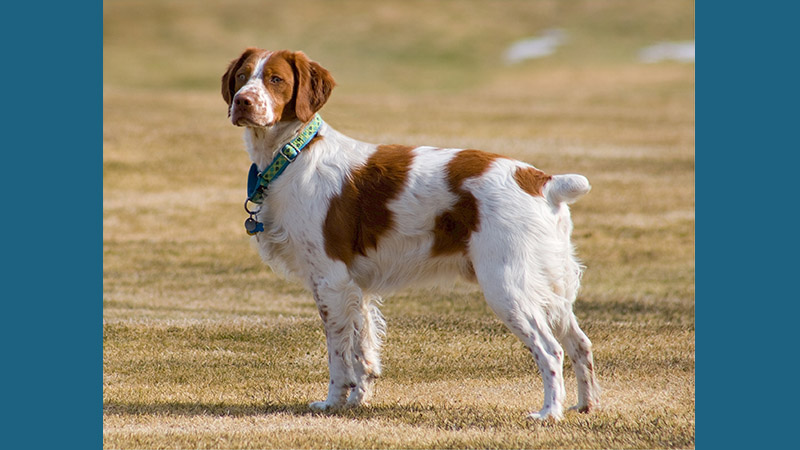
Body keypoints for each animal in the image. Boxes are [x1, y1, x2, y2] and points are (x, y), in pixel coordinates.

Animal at [222, 47, 596, 420]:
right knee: (580, 343)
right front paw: (357, 400)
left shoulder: (330, 281)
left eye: (275, 79)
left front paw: (332, 402)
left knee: (550, 350)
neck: (294, 155)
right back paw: (584, 405)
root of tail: (542, 181)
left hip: (507, 286)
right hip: (551, 287)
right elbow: (363, 350)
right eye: (242, 76)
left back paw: (549, 412)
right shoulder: (356, 288)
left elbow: (339, 355)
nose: (242, 102)